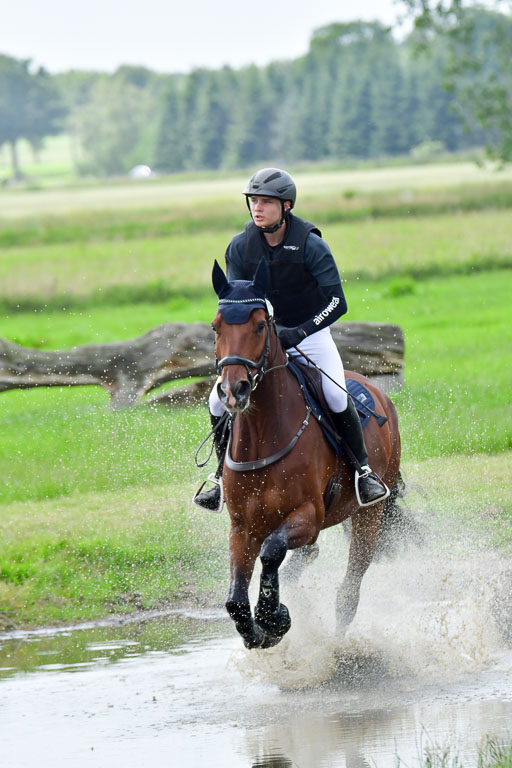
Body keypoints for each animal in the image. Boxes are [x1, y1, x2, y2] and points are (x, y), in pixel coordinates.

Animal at [210, 259, 401, 650]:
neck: (263, 436)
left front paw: (274, 618)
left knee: (348, 592)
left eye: (259, 325)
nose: (233, 390)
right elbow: (235, 599)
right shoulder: (242, 526)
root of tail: (379, 391)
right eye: (215, 326)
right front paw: (260, 630)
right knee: (306, 558)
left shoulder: (308, 516)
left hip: (368, 517)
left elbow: (271, 552)